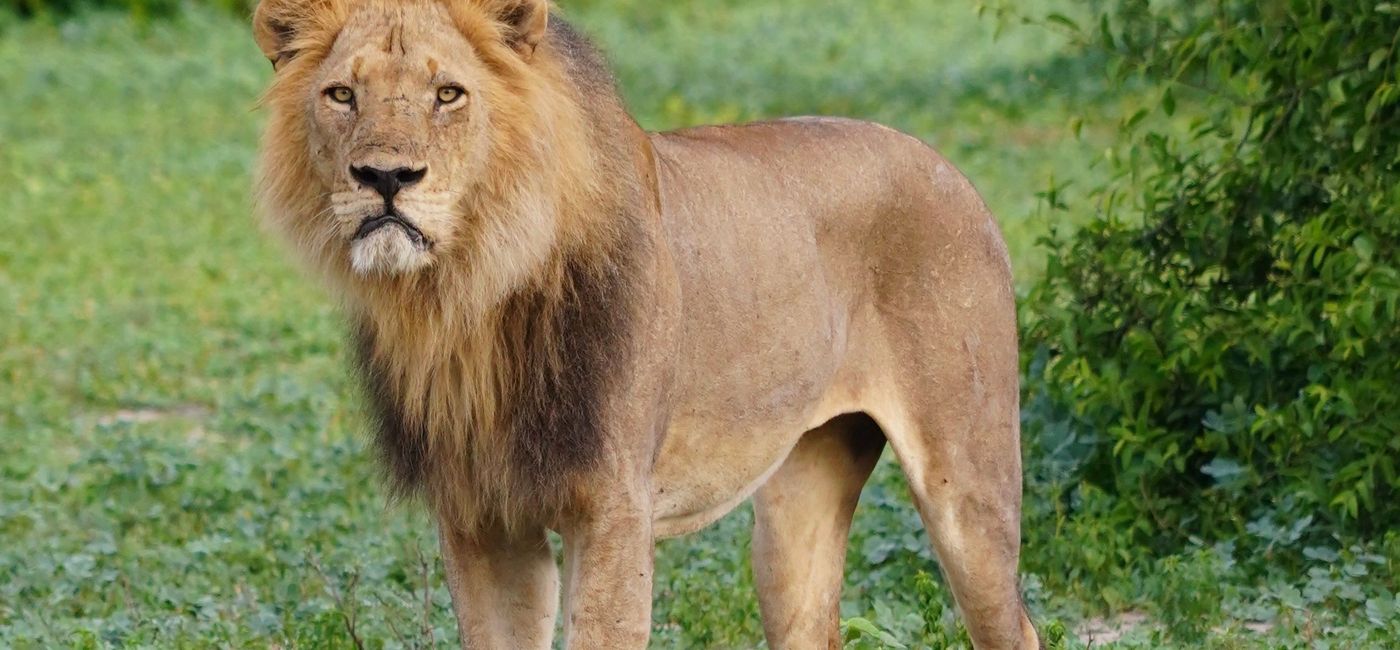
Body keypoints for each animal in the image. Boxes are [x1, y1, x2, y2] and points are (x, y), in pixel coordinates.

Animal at [252, 0, 1041, 647]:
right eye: (342, 95)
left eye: (448, 93)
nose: (385, 178)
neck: (466, 295)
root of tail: (945, 164)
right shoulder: (481, 520)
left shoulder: (614, 511)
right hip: (797, 504)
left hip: (967, 485)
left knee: (1016, 623)